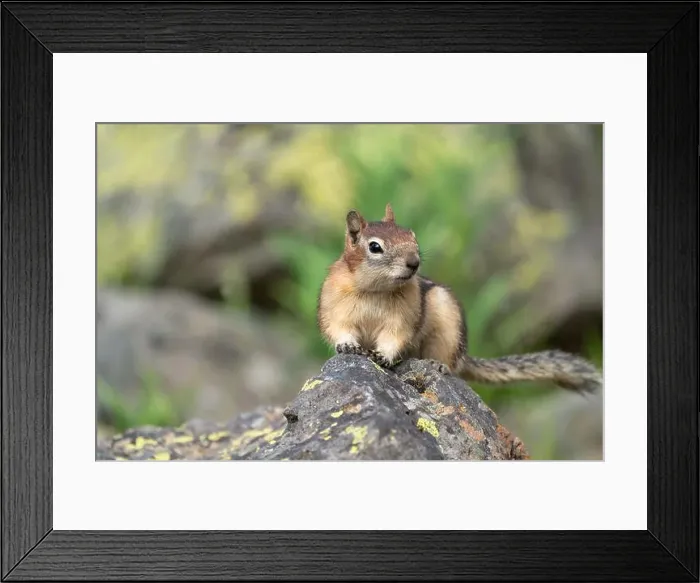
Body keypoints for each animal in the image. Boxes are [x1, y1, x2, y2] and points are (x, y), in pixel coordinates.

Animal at [317, 203, 602, 393]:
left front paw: (384, 356)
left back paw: (438, 365)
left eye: (412, 235)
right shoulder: (334, 306)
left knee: (450, 364)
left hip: (448, 327)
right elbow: (338, 328)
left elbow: (395, 335)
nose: (414, 263)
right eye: (375, 247)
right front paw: (348, 346)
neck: (376, 290)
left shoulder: (405, 316)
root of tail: (465, 357)